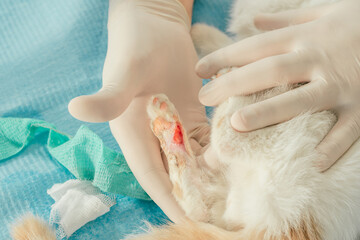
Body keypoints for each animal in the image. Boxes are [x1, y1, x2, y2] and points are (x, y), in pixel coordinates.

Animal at [11, 0, 360, 238]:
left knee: (225, 145)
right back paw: (171, 129)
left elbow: (254, 44)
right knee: (200, 206)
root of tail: (285, 224)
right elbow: (243, 41)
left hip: (282, 125)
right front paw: (206, 38)